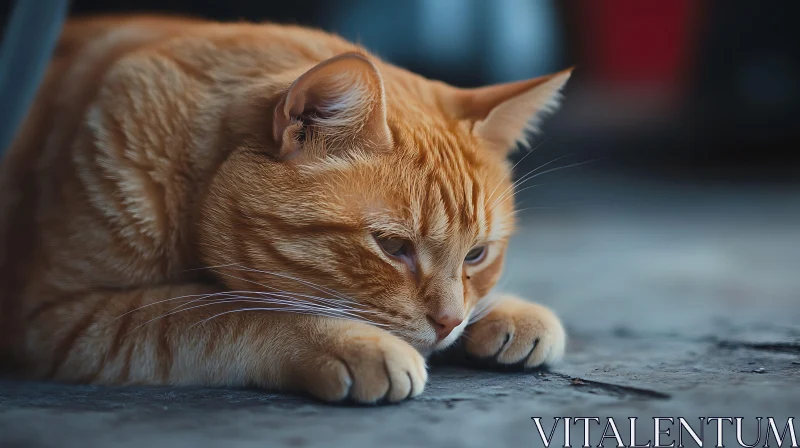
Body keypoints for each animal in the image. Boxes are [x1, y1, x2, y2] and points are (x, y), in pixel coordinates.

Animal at [0, 15, 568, 404]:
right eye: (391, 247)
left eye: (476, 255)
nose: (450, 323)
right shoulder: (61, 316)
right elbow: (227, 310)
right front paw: (352, 341)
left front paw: (506, 309)